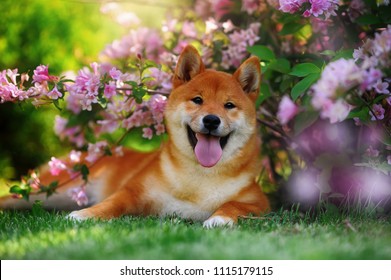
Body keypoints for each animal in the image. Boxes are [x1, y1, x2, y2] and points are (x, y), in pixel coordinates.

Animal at [0, 45, 270, 228]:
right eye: (198, 100)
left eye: (229, 105)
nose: (212, 120)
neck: (199, 179)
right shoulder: (134, 191)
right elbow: (111, 204)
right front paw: (84, 215)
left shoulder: (260, 202)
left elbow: (235, 204)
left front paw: (219, 219)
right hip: (52, 189)